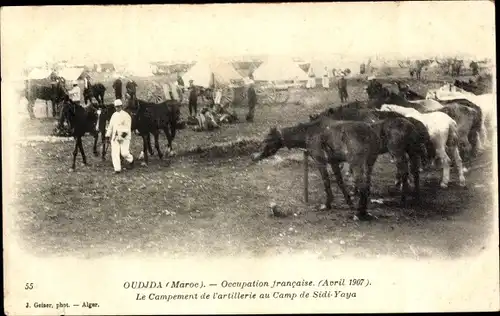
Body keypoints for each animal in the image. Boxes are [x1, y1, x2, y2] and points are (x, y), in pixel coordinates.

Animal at [252, 116, 380, 222]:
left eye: (267, 140)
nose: (254, 156)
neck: (308, 133)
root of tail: (370, 132)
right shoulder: (333, 162)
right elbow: (340, 182)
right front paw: (349, 203)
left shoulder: (320, 161)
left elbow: (326, 182)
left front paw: (327, 204)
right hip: (369, 162)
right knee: (367, 184)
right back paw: (363, 212)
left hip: (356, 163)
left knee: (363, 186)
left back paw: (359, 214)